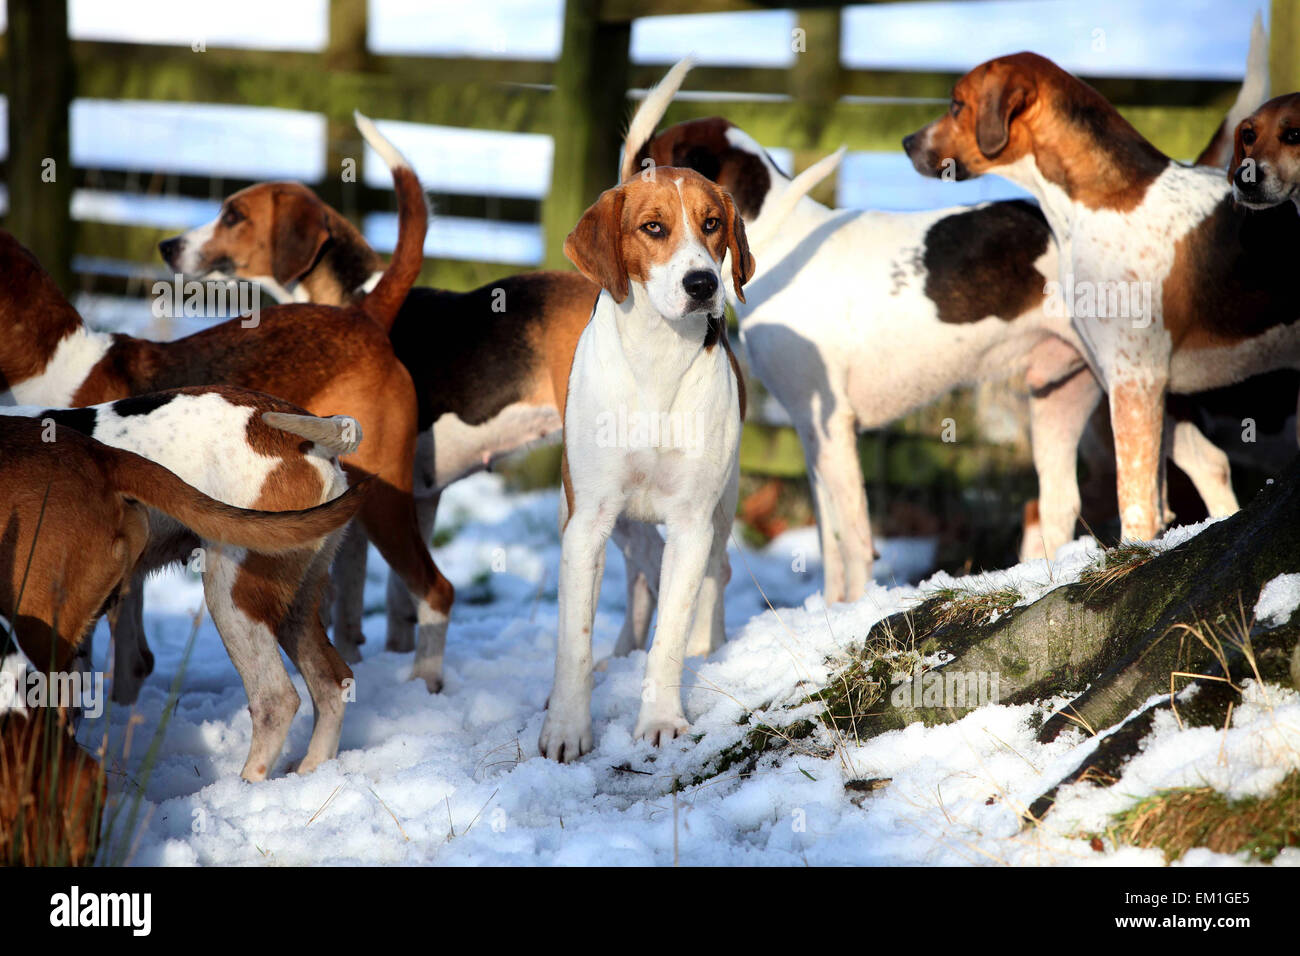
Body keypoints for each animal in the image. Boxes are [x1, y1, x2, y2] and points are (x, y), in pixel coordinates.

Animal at [540, 166, 754, 764]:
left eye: (713, 223)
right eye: (653, 227)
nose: (703, 284)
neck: (659, 355)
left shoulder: (691, 523)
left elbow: (671, 636)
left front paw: (660, 721)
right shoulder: (585, 523)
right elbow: (572, 643)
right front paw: (566, 730)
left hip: (721, 510)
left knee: (714, 575)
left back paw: (708, 646)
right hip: (607, 519)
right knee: (640, 572)